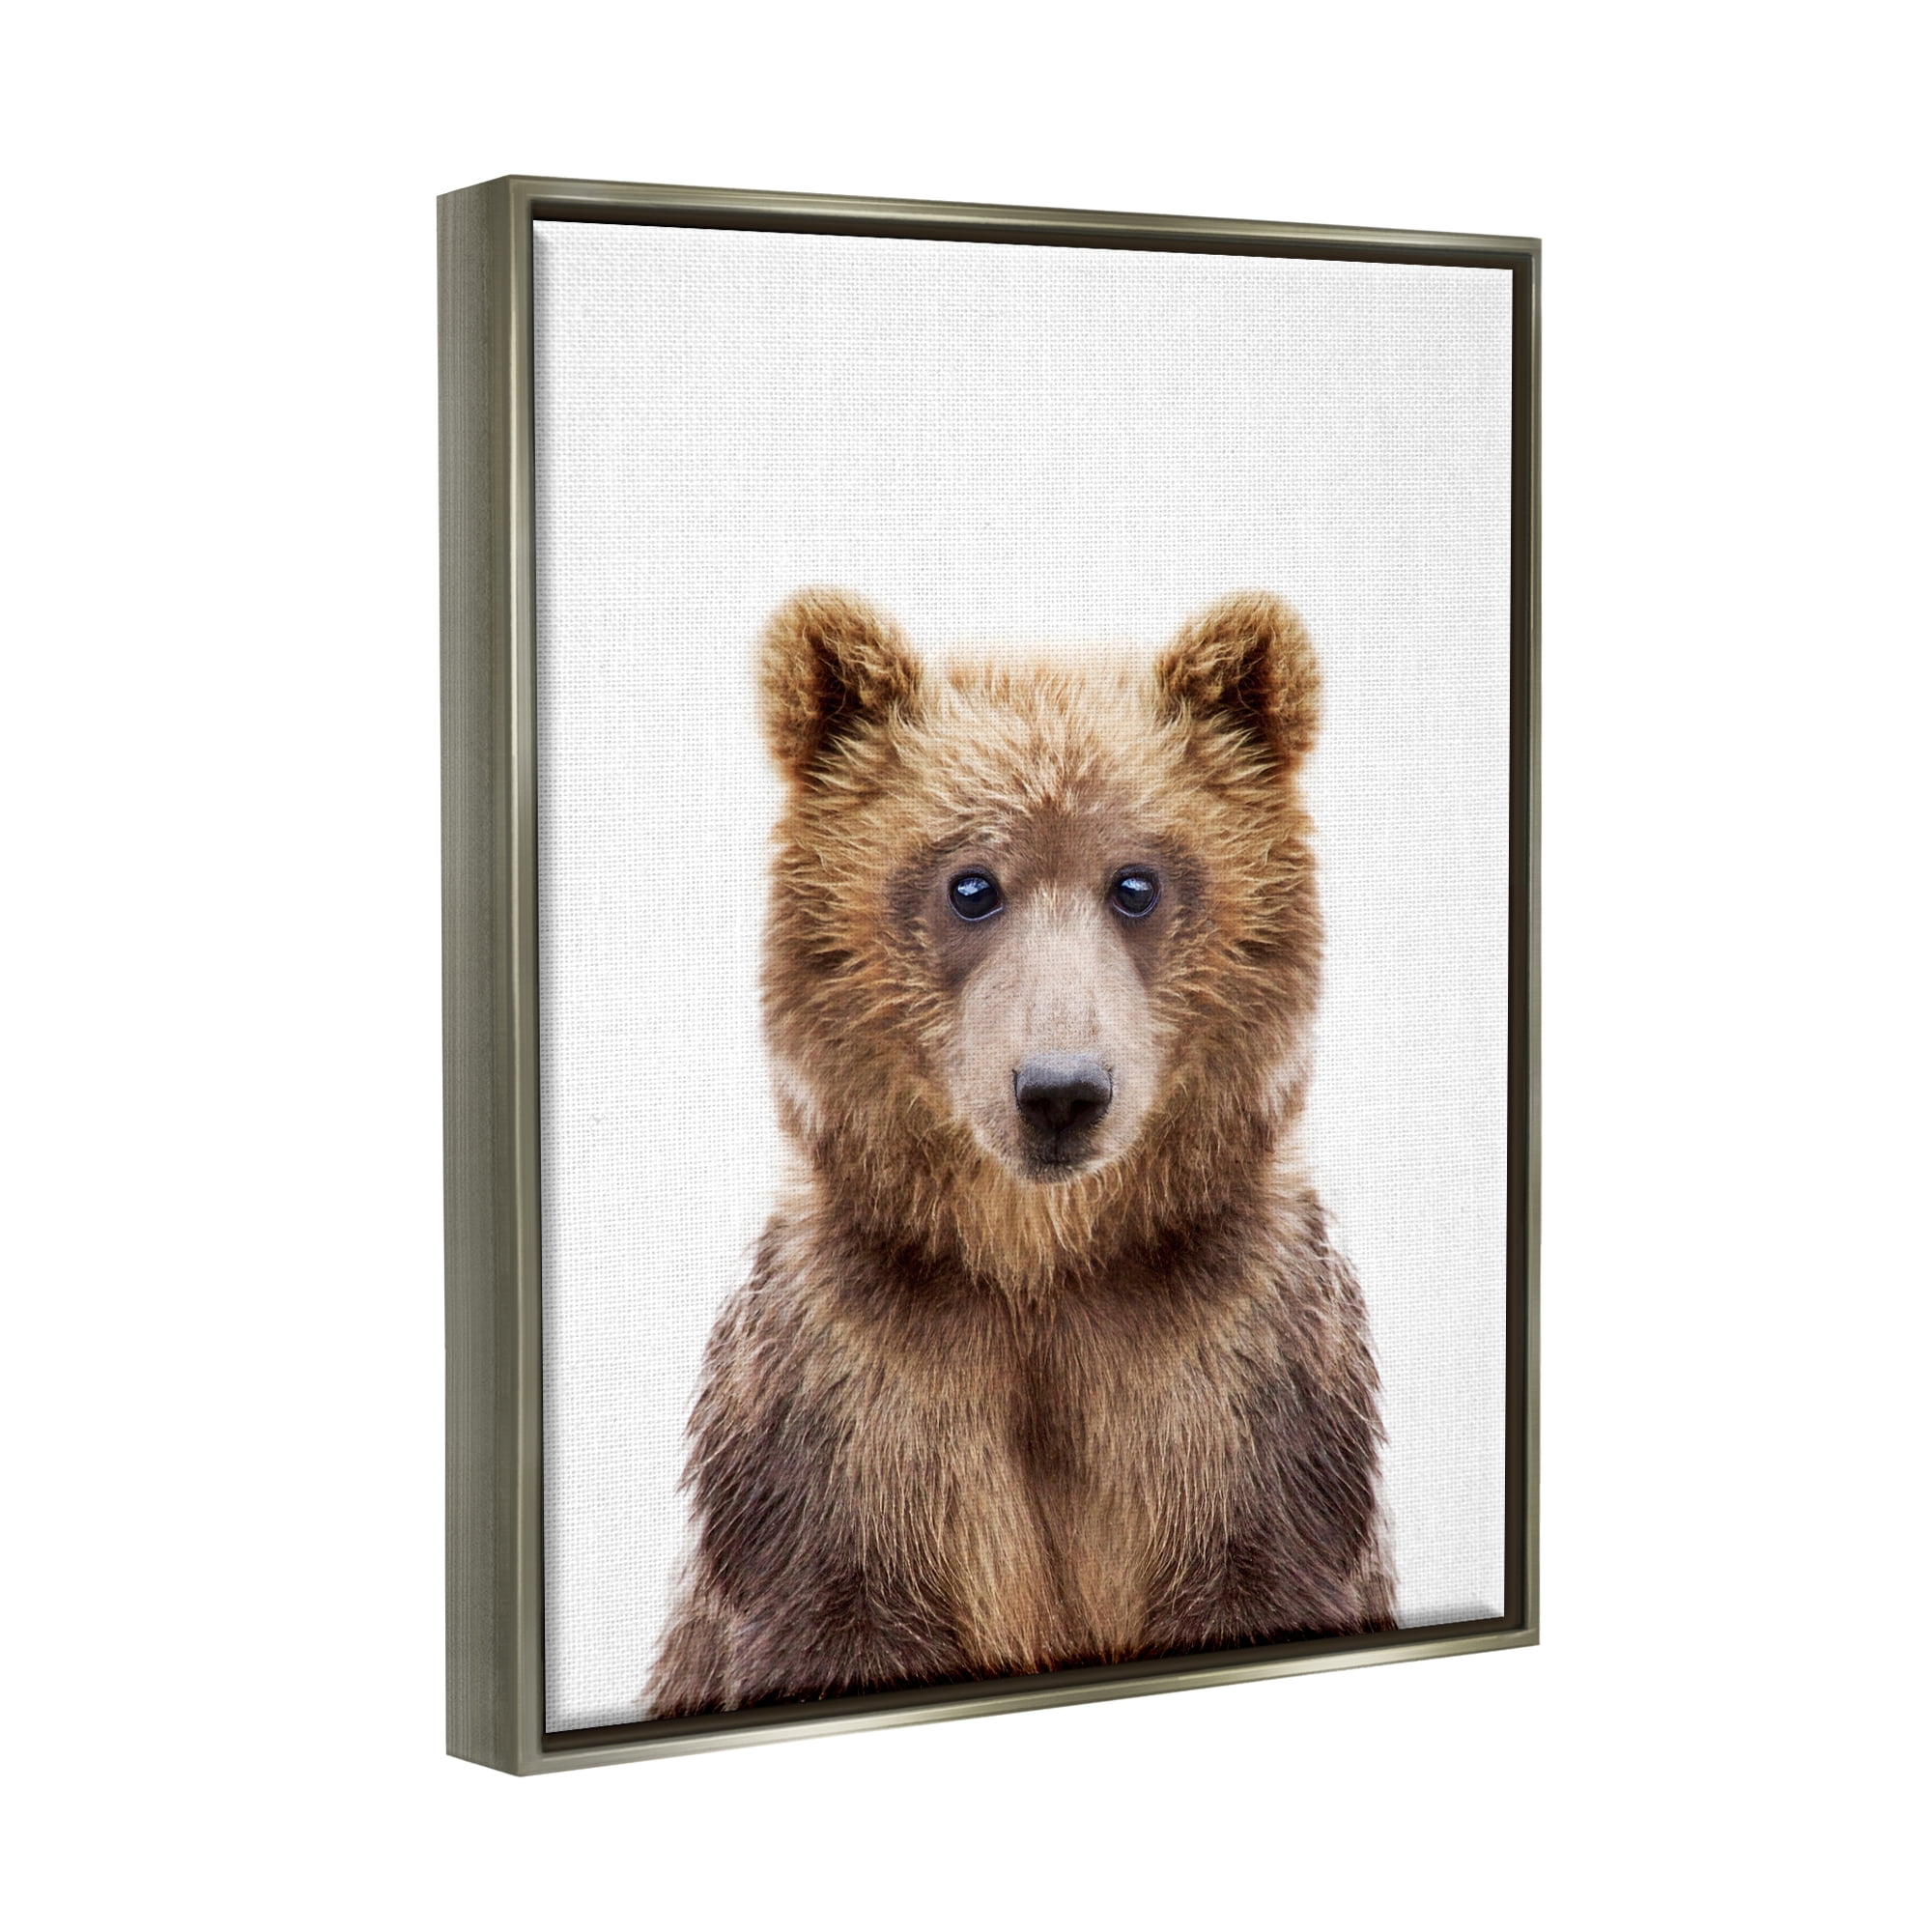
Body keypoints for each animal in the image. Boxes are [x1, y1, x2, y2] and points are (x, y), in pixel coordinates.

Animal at [645, 588, 1394, 1718]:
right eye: (970, 885)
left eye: (1135, 882)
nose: (1060, 1092)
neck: (1038, 1266)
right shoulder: (850, 1414)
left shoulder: (1239, 1389)